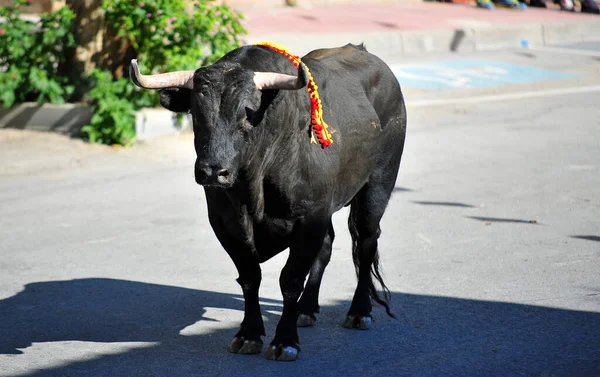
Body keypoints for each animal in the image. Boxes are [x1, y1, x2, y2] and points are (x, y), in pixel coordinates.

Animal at [128, 42, 406, 360]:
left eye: (247, 115)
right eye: (196, 115)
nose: (213, 171)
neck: (253, 191)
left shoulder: (309, 219)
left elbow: (290, 280)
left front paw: (285, 340)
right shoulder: (226, 224)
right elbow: (250, 277)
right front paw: (248, 334)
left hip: (377, 187)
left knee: (365, 244)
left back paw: (359, 312)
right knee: (328, 247)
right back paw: (306, 310)